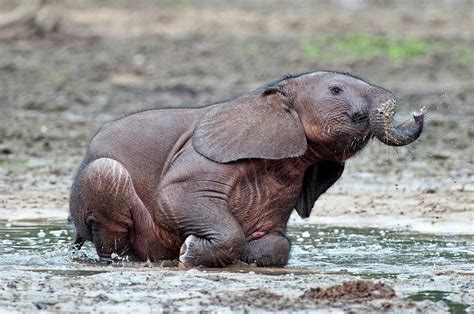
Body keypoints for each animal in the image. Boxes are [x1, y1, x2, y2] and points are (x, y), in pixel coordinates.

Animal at [69, 71, 422, 268]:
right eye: (336, 90)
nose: (420, 113)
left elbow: (278, 245)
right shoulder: (205, 155)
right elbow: (175, 196)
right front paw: (188, 253)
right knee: (107, 175)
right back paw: (124, 261)